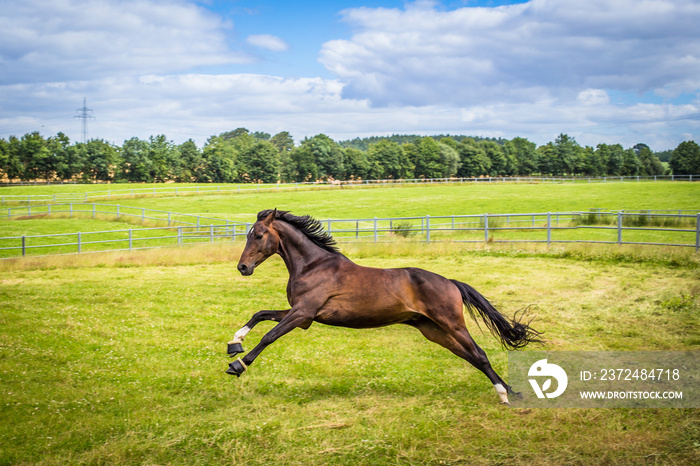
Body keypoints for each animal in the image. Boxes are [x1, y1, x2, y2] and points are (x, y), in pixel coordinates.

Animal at [230, 210, 540, 404]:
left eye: (258, 235)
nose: (243, 268)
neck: (313, 265)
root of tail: (451, 283)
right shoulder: (301, 315)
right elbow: (259, 315)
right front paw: (234, 343)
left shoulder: (302, 313)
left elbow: (269, 336)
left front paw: (237, 365)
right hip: (433, 330)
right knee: (471, 357)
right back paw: (513, 392)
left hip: (452, 324)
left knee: (480, 355)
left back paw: (504, 395)